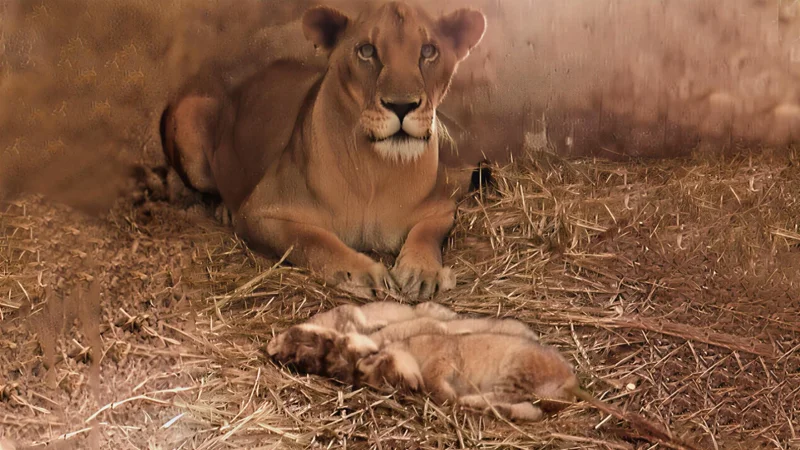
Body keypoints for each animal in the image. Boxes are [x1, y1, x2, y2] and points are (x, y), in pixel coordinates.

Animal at [159, 2, 487, 299]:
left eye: (428, 51)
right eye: (367, 51)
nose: (401, 105)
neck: (375, 171)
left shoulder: (442, 207)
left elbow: (426, 233)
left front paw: (420, 272)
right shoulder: (258, 213)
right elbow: (311, 240)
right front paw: (364, 274)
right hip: (192, 115)